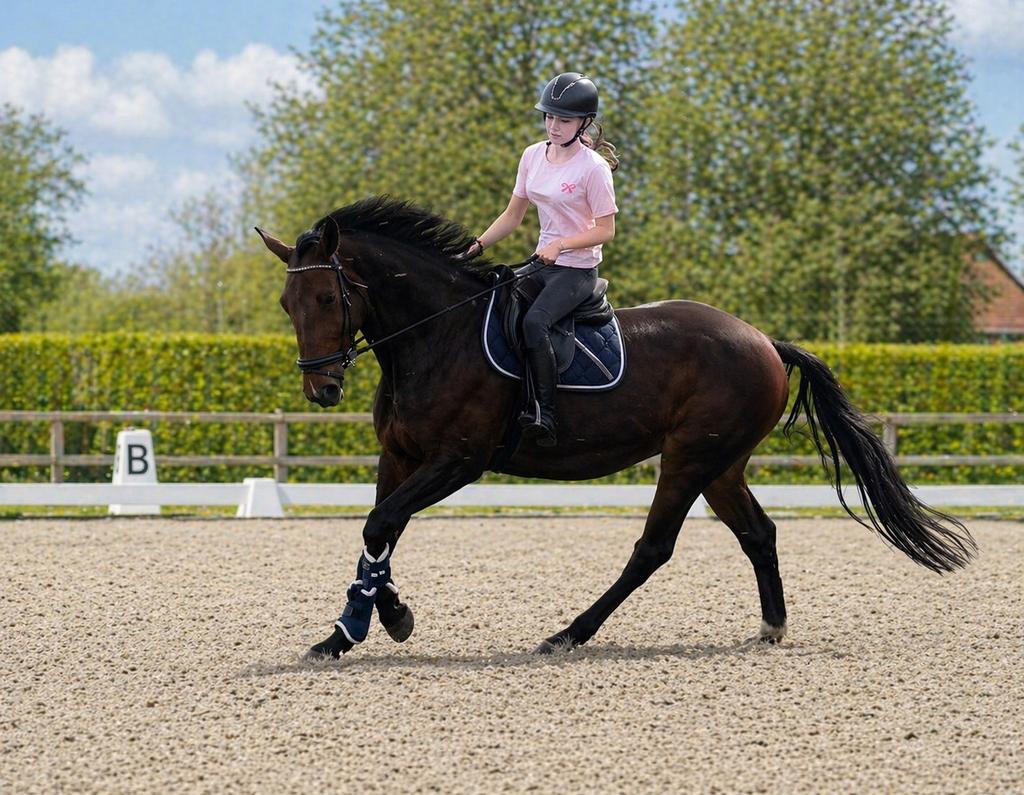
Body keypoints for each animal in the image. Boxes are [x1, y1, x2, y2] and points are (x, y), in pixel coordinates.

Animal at [256, 196, 976, 659]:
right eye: (287, 303)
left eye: (327, 297)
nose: (322, 389)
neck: (436, 334)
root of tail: (764, 341)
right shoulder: (401, 457)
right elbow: (381, 530)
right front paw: (351, 629)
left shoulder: (458, 460)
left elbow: (382, 523)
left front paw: (381, 621)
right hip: (721, 464)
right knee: (758, 532)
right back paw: (770, 627)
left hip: (688, 457)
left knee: (653, 547)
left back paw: (568, 634)